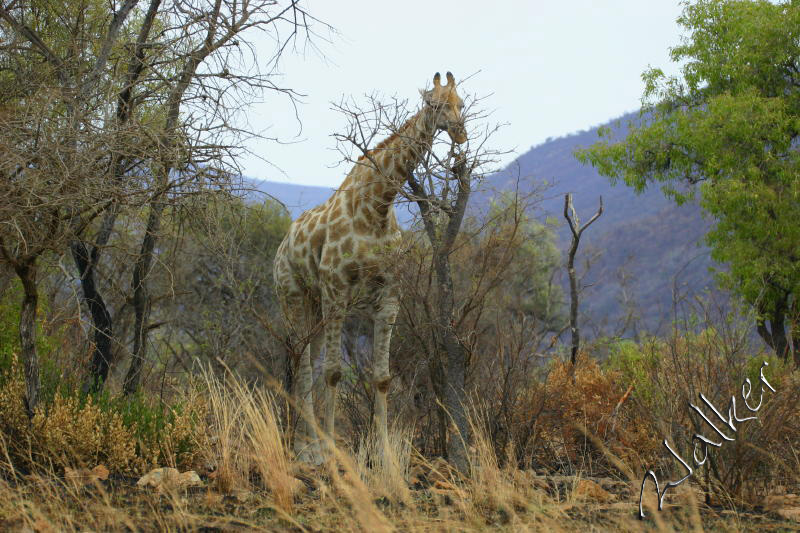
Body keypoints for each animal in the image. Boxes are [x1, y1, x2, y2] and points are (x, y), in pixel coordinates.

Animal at [274, 71, 468, 462]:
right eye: (433, 103)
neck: (377, 206)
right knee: (302, 362)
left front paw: (384, 455)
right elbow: (334, 373)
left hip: (315, 306)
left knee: (307, 361)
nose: (460, 133)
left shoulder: (389, 295)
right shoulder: (336, 289)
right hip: (293, 296)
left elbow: (382, 376)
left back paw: (309, 444)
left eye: (461, 103)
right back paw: (307, 449)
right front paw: (333, 453)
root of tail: (282, 246)